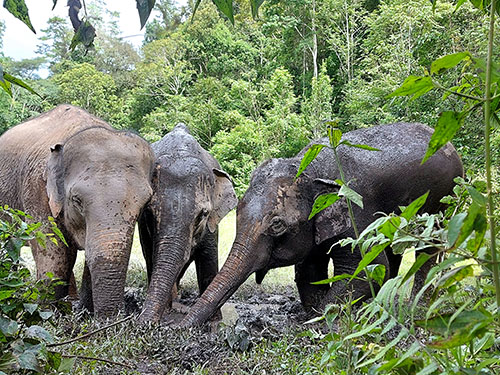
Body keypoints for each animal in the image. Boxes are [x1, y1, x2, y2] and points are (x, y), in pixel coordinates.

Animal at [0, 105, 154, 318]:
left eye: (145, 203)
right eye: (76, 200)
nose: (109, 321)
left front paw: (84, 313)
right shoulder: (36, 189)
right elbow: (54, 251)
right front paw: (47, 315)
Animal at [137, 123, 238, 324]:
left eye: (203, 214)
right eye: (149, 213)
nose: (144, 323)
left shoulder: (211, 224)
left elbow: (208, 258)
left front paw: (215, 322)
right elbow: (152, 256)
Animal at [181, 122, 464, 326]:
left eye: (277, 225)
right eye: (236, 212)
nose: (177, 328)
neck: (308, 167)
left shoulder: (354, 207)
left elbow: (365, 267)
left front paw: (321, 318)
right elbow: (309, 270)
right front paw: (315, 311)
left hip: (442, 200)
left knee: (427, 248)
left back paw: (419, 305)